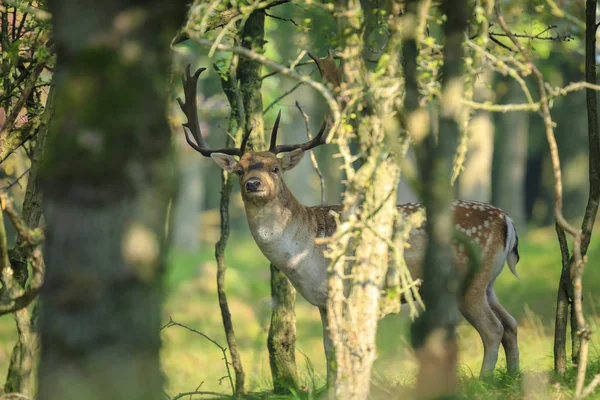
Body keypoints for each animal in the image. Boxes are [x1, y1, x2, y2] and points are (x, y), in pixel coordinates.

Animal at [178, 66, 520, 378]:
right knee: (511, 324)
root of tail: (506, 219)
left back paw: (484, 380)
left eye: (275, 168)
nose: (252, 184)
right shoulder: (321, 301)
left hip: (468, 279)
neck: (302, 254)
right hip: (489, 281)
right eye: (239, 170)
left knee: (492, 329)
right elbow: (329, 350)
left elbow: (337, 350)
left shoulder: (337, 291)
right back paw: (514, 376)